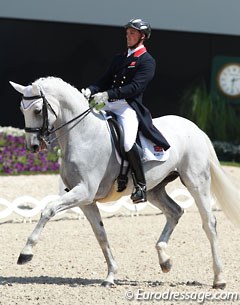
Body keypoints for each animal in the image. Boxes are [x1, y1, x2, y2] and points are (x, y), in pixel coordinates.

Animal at [9, 76, 240, 288]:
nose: (32, 146)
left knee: (209, 223)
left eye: (37, 110)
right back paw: (165, 260)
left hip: (196, 181)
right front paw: (111, 275)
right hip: (155, 188)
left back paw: (219, 278)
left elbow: (48, 209)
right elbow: (100, 234)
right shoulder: (86, 200)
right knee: (175, 211)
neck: (83, 134)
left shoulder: (83, 192)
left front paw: (25, 253)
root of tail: (196, 128)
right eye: (21, 109)